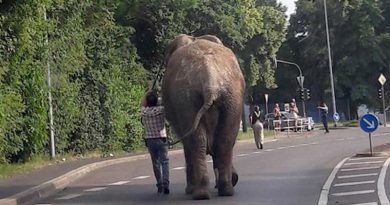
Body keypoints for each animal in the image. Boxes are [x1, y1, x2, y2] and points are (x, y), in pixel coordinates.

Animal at [161, 34, 244, 199]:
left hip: (186, 97)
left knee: (197, 141)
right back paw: (223, 190)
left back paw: (201, 193)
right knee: (224, 139)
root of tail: (209, 79)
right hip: (231, 96)